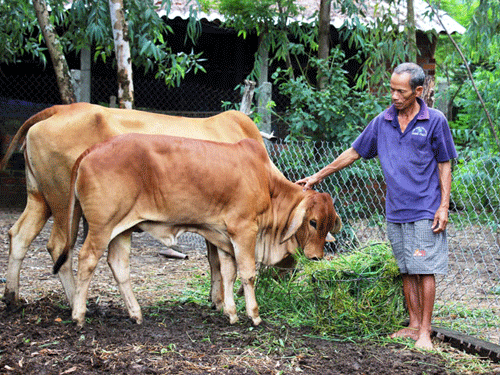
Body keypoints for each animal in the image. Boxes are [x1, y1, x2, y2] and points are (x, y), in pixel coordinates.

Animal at [0, 103, 274, 308]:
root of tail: (59, 109)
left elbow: (214, 259)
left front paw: (215, 299)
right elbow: (219, 259)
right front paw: (220, 301)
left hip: (40, 197)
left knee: (19, 235)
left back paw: (12, 297)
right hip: (63, 202)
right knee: (58, 247)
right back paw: (74, 301)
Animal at [54, 134, 342, 328]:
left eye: (328, 224)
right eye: (313, 222)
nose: (316, 257)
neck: (268, 185)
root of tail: (92, 149)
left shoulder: (225, 237)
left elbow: (227, 274)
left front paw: (230, 313)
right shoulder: (244, 230)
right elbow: (247, 274)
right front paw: (254, 315)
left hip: (122, 229)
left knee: (118, 266)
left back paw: (136, 314)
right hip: (102, 227)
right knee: (86, 260)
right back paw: (79, 315)